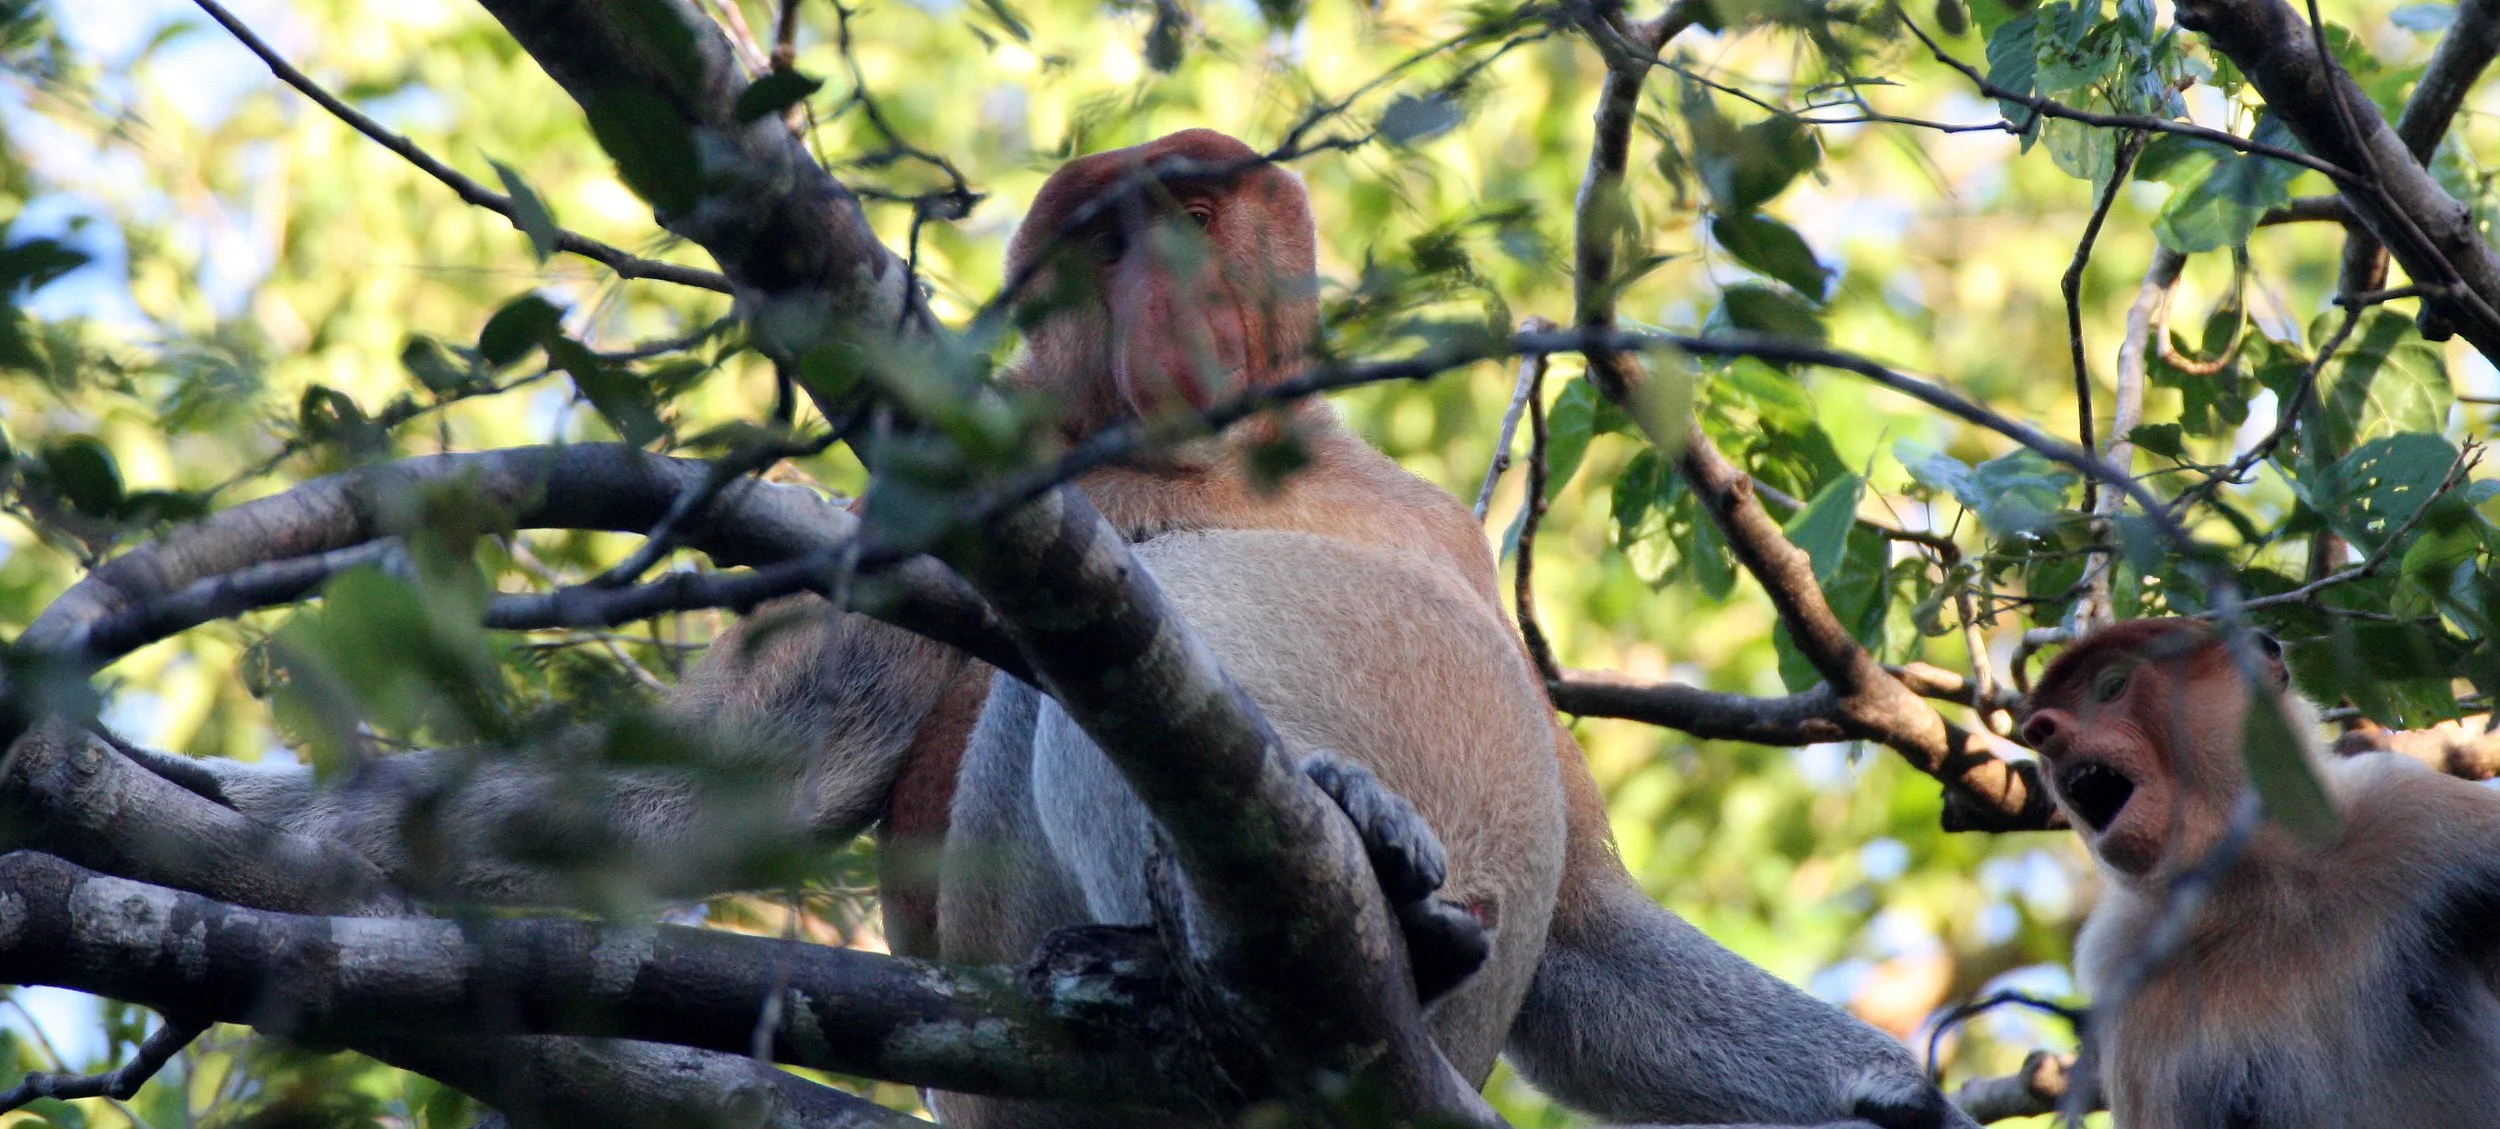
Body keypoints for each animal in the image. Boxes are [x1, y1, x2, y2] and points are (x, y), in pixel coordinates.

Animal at [99, 129, 1964, 1128]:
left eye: (1185, 211)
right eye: (1088, 243)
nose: (1151, 302)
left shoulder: (1432, 516)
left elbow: (1589, 935)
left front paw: (1905, 1091)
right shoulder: (931, 486)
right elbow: (737, 776)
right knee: (1075, 697)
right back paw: (1269, 916)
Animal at [2021, 618, 2500, 1128]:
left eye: (2111, 686)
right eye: (2040, 726)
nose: (2041, 730)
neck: (2265, 881)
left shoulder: (2413, 809)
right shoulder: (2126, 960)